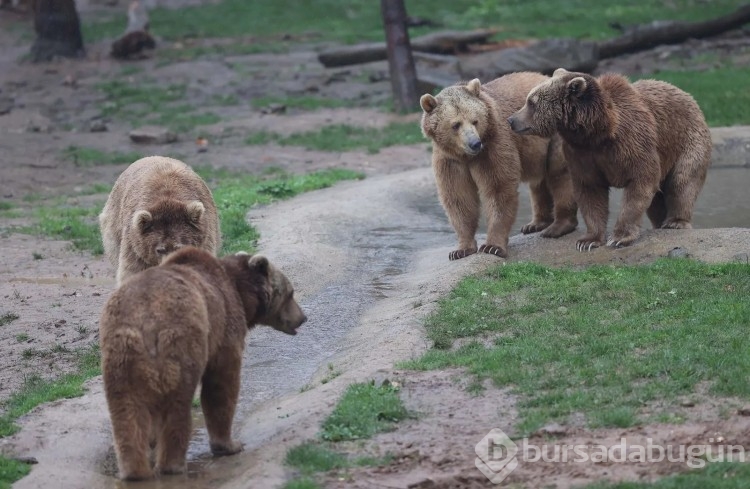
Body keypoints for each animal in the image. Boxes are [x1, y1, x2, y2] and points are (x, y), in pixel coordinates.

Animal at [100, 246, 308, 478]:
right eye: (291, 292)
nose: (303, 317)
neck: (241, 293)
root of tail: (146, 320)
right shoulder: (224, 323)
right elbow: (222, 383)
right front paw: (230, 444)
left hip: (120, 354)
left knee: (125, 409)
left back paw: (134, 470)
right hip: (180, 342)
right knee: (178, 402)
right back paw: (172, 464)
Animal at [420, 71, 580, 260]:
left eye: (475, 121)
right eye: (455, 124)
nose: (475, 143)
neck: (466, 156)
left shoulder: (493, 145)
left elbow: (498, 188)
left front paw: (492, 246)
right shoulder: (449, 159)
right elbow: (459, 197)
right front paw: (461, 249)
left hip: (555, 134)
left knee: (560, 174)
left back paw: (560, 225)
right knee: (538, 183)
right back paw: (535, 224)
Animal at [508, 68, 712, 250]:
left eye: (531, 102)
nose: (511, 120)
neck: (597, 133)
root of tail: (688, 95)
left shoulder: (633, 142)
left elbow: (641, 182)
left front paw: (619, 238)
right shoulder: (582, 154)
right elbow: (590, 191)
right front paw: (588, 241)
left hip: (688, 140)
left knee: (682, 181)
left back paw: (675, 222)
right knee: (656, 202)